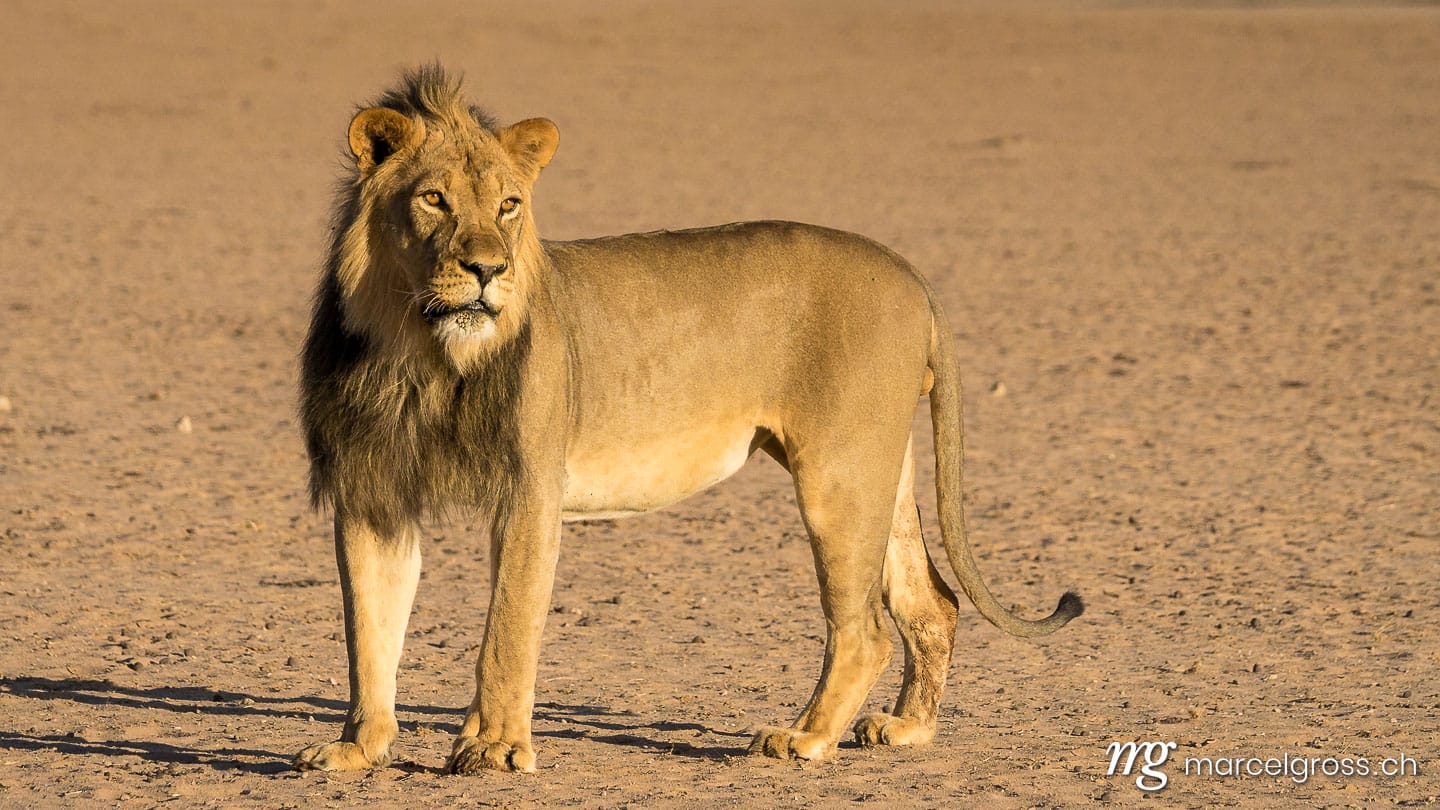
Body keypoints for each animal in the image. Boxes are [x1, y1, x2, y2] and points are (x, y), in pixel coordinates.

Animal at [293, 65, 1082, 775]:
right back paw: (909, 729)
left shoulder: (529, 488)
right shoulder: (371, 491)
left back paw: (804, 739)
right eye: (433, 199)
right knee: (932, 602)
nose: (490, 269)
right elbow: (368, 631)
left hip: (840, 472)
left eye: (509, 205)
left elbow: (507, 631)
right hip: (884, 467)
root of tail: (911, 272)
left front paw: (492, 750)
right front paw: (356, 748)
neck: (417, 352)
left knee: (864, 630)